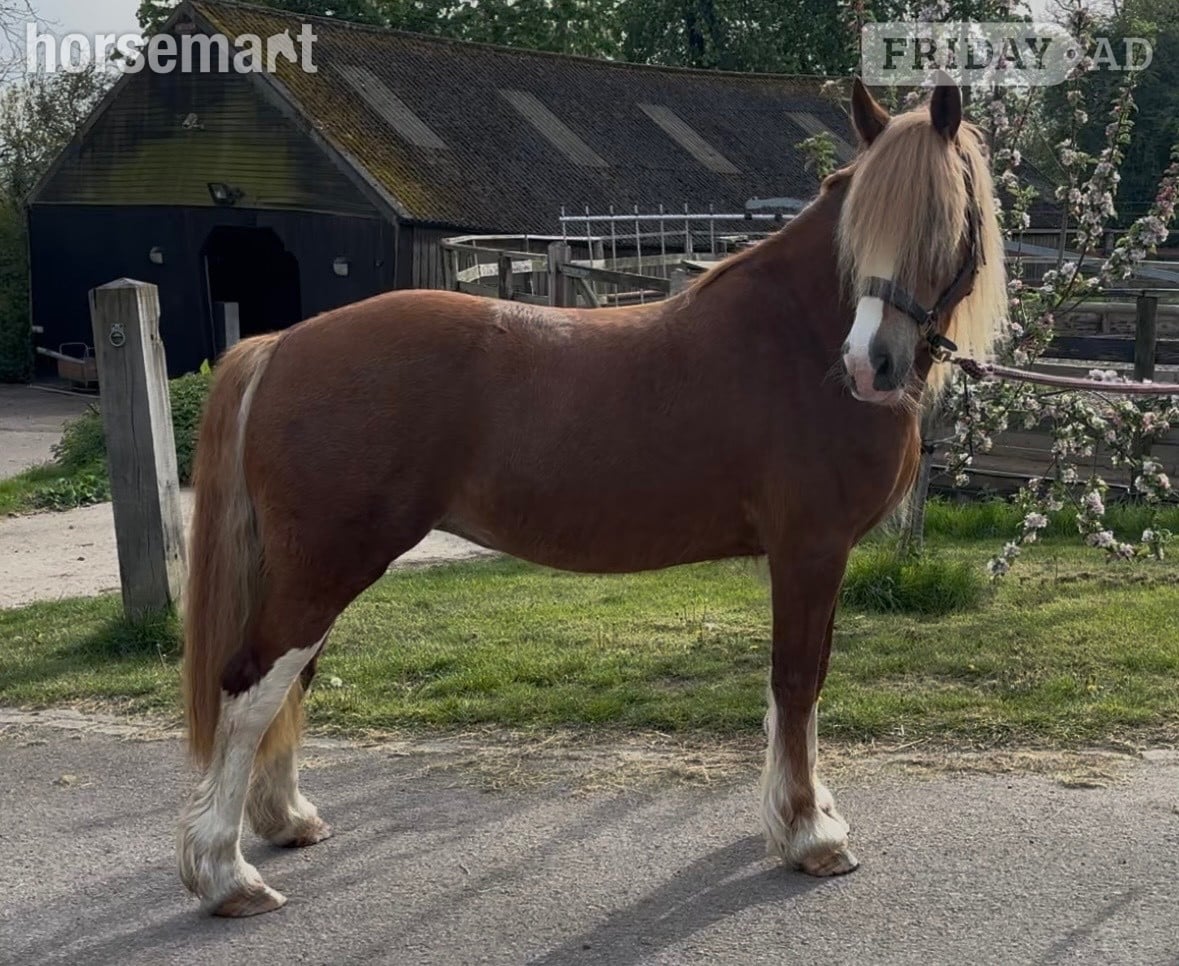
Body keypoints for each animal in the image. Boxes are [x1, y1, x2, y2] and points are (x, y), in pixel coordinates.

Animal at [176, 76, 1007, 917]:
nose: (870, 365)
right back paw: (226, 875)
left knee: (287, 684)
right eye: (861, 227)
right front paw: (810, 835)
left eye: (944, 223)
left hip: (314, 571)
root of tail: (281, 345)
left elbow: (806, 682)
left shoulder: (818, 556)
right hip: (324, 569)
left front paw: (809, 814)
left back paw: (286, 821)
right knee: (250, 689)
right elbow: (797, 681)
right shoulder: (809, 551)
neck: (798, 343)